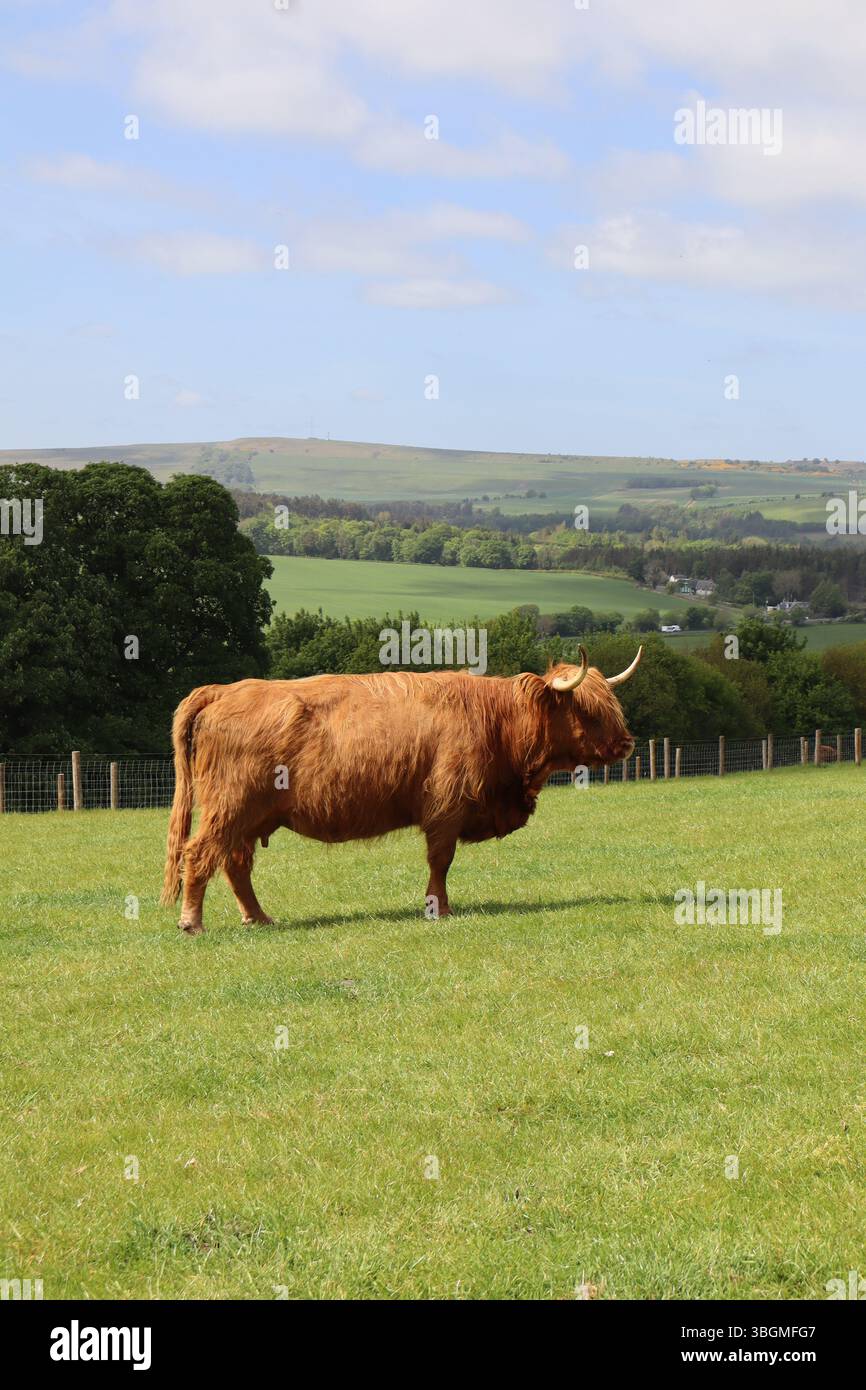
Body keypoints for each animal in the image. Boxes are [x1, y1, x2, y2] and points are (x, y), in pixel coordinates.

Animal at [161, 644, 642, 934]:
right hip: (230, 806)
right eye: (588, 709)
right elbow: (441, 862)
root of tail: (223, 690)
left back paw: (258, 918)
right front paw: (439, 909)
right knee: (199, 853)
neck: (498, 721)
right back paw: (193, 922)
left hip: (249, 817)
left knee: (235, 864)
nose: (626, 744)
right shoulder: (447, 807)